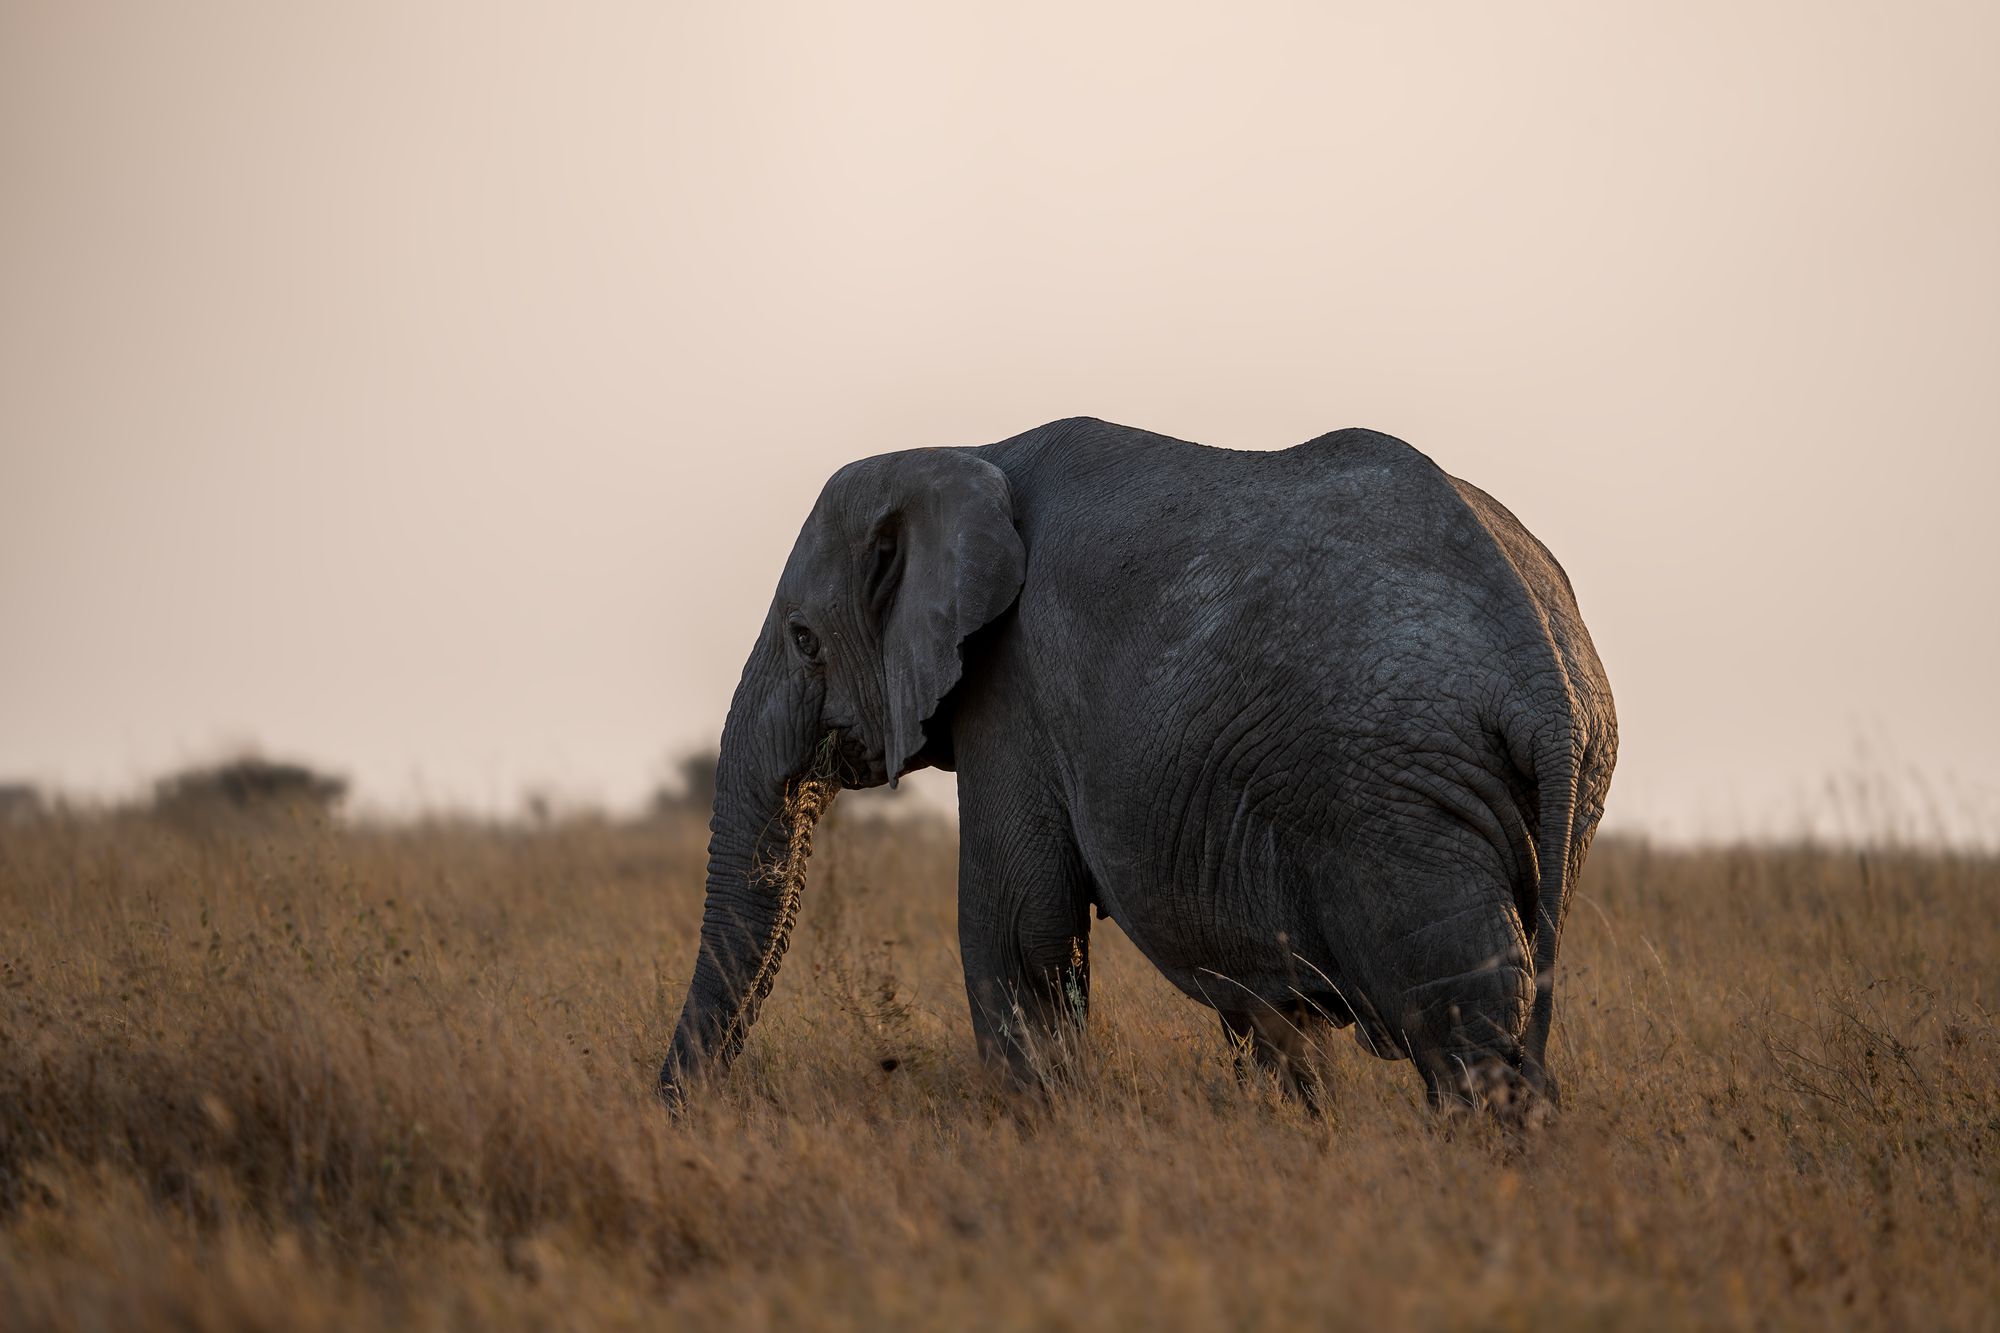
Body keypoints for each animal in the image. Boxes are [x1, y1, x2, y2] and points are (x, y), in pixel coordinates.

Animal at [661, 417, 1616, 1116]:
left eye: (803, 639)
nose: (677, 1113)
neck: (970, 448)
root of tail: (1543, 670)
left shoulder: (1013, 688)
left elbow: (1015, 929)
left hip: (1397, 806)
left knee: (1465, 1033)